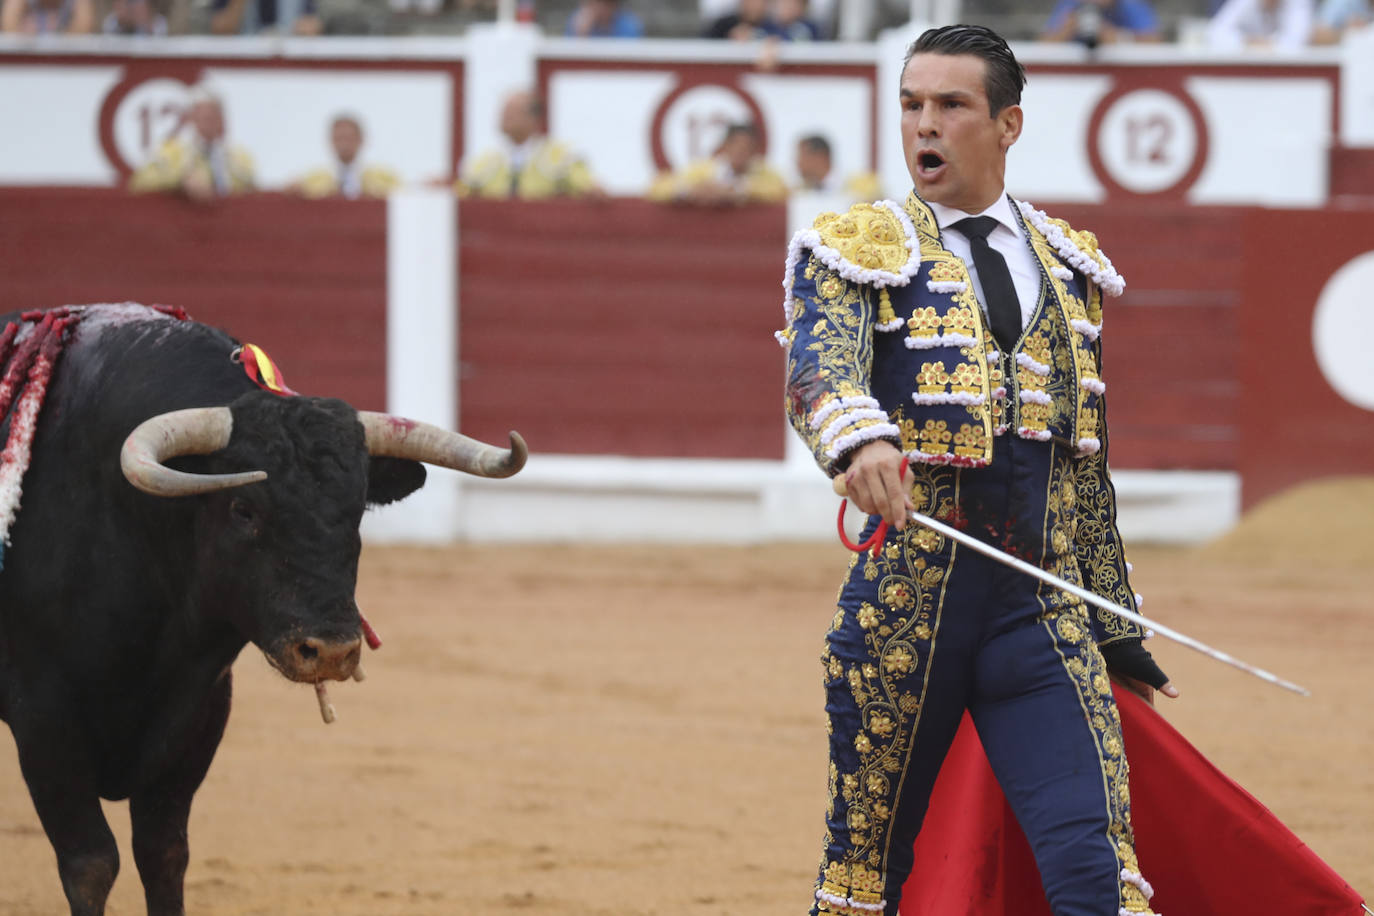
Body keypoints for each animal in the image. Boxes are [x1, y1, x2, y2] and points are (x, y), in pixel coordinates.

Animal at [0, 304, 524, 911]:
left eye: (357, 511)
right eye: (243, 509)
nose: (330, 650)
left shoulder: (201, 714)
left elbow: (163, 854)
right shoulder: (43, 719)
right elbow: (90, 864)